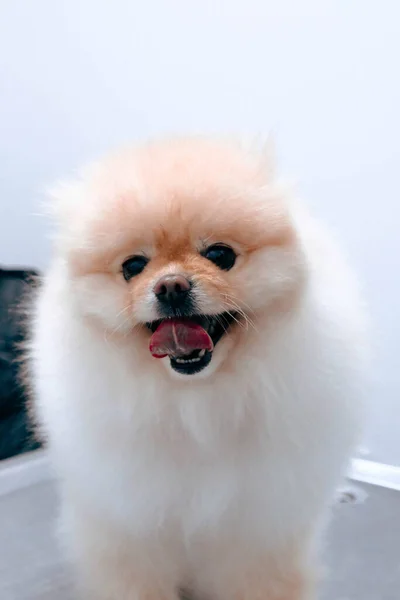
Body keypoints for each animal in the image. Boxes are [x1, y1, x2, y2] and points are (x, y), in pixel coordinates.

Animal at [29, 138, 368, 600]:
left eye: (220, 255)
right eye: (133, 266)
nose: (171, 286)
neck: (197, 406)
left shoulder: (259, 531)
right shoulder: (131, 528)